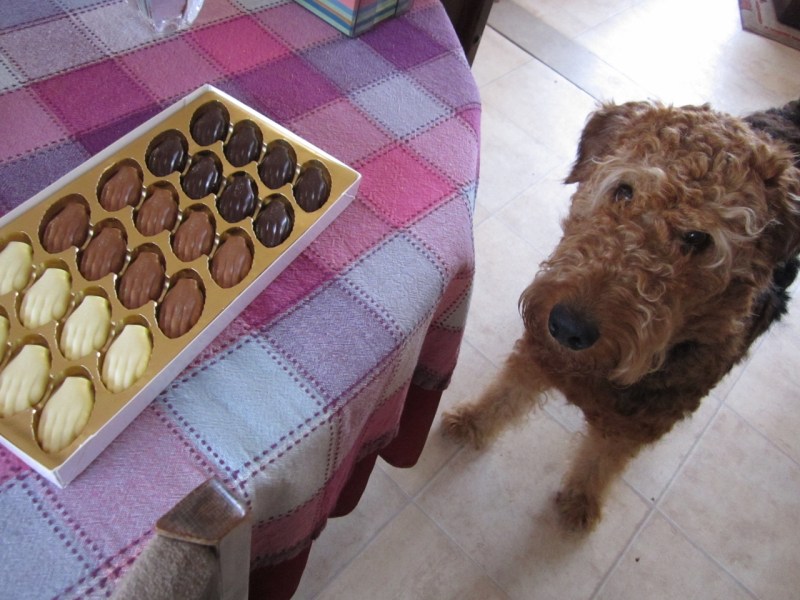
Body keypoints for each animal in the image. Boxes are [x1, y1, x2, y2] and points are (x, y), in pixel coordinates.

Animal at [442, 99, 800, 532]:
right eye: (624, 189)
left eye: (698, 238)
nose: (568, 327)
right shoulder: (539, 354)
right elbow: (504, 394)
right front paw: (472, 421)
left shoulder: (635, 424)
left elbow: (603, 461)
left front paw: (579, 502)